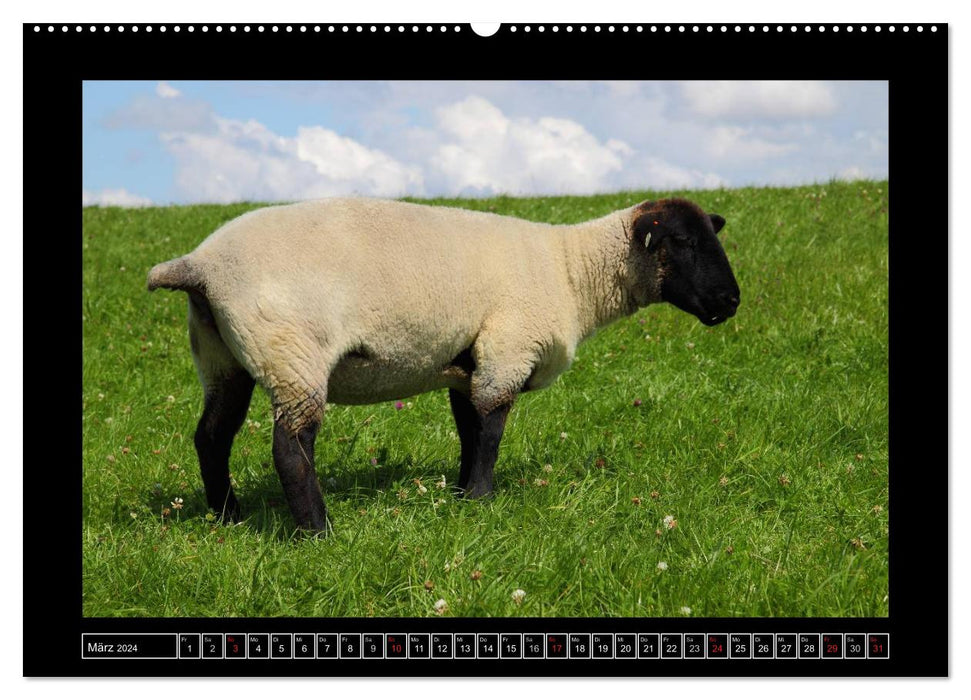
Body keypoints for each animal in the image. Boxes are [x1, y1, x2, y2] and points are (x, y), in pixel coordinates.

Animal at [148, 194, 740, 532]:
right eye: (682, 242)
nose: (731, 301)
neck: (574, 273)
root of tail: (199, 265)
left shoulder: (470, 362)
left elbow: (469, 431)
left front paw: (461, 495)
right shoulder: (506, 350)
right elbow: (492, 432)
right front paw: (482, 499)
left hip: (223, 357)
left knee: (211, 437)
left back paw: (227, 518)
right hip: (292, 354)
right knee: (291, 450)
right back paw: (316, 531)